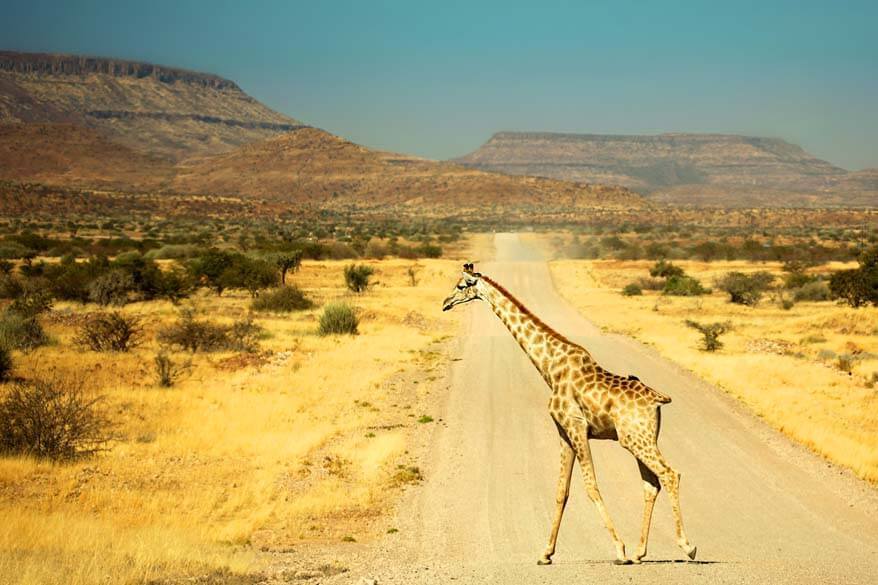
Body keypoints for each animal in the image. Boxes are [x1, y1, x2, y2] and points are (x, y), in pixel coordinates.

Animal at [444, 262, 696, 564]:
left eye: (461, 285)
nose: (445, 303)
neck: (550, 367)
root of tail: (659, 400)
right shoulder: (563, 431)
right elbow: (561, 491)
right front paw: (546, 553)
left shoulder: (576, 427)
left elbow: (591, 486)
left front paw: (618, 550)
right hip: (641, 439)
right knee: (651, 484)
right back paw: (639, 552)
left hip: (636, 440)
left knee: (670, 474)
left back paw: (686, 546)